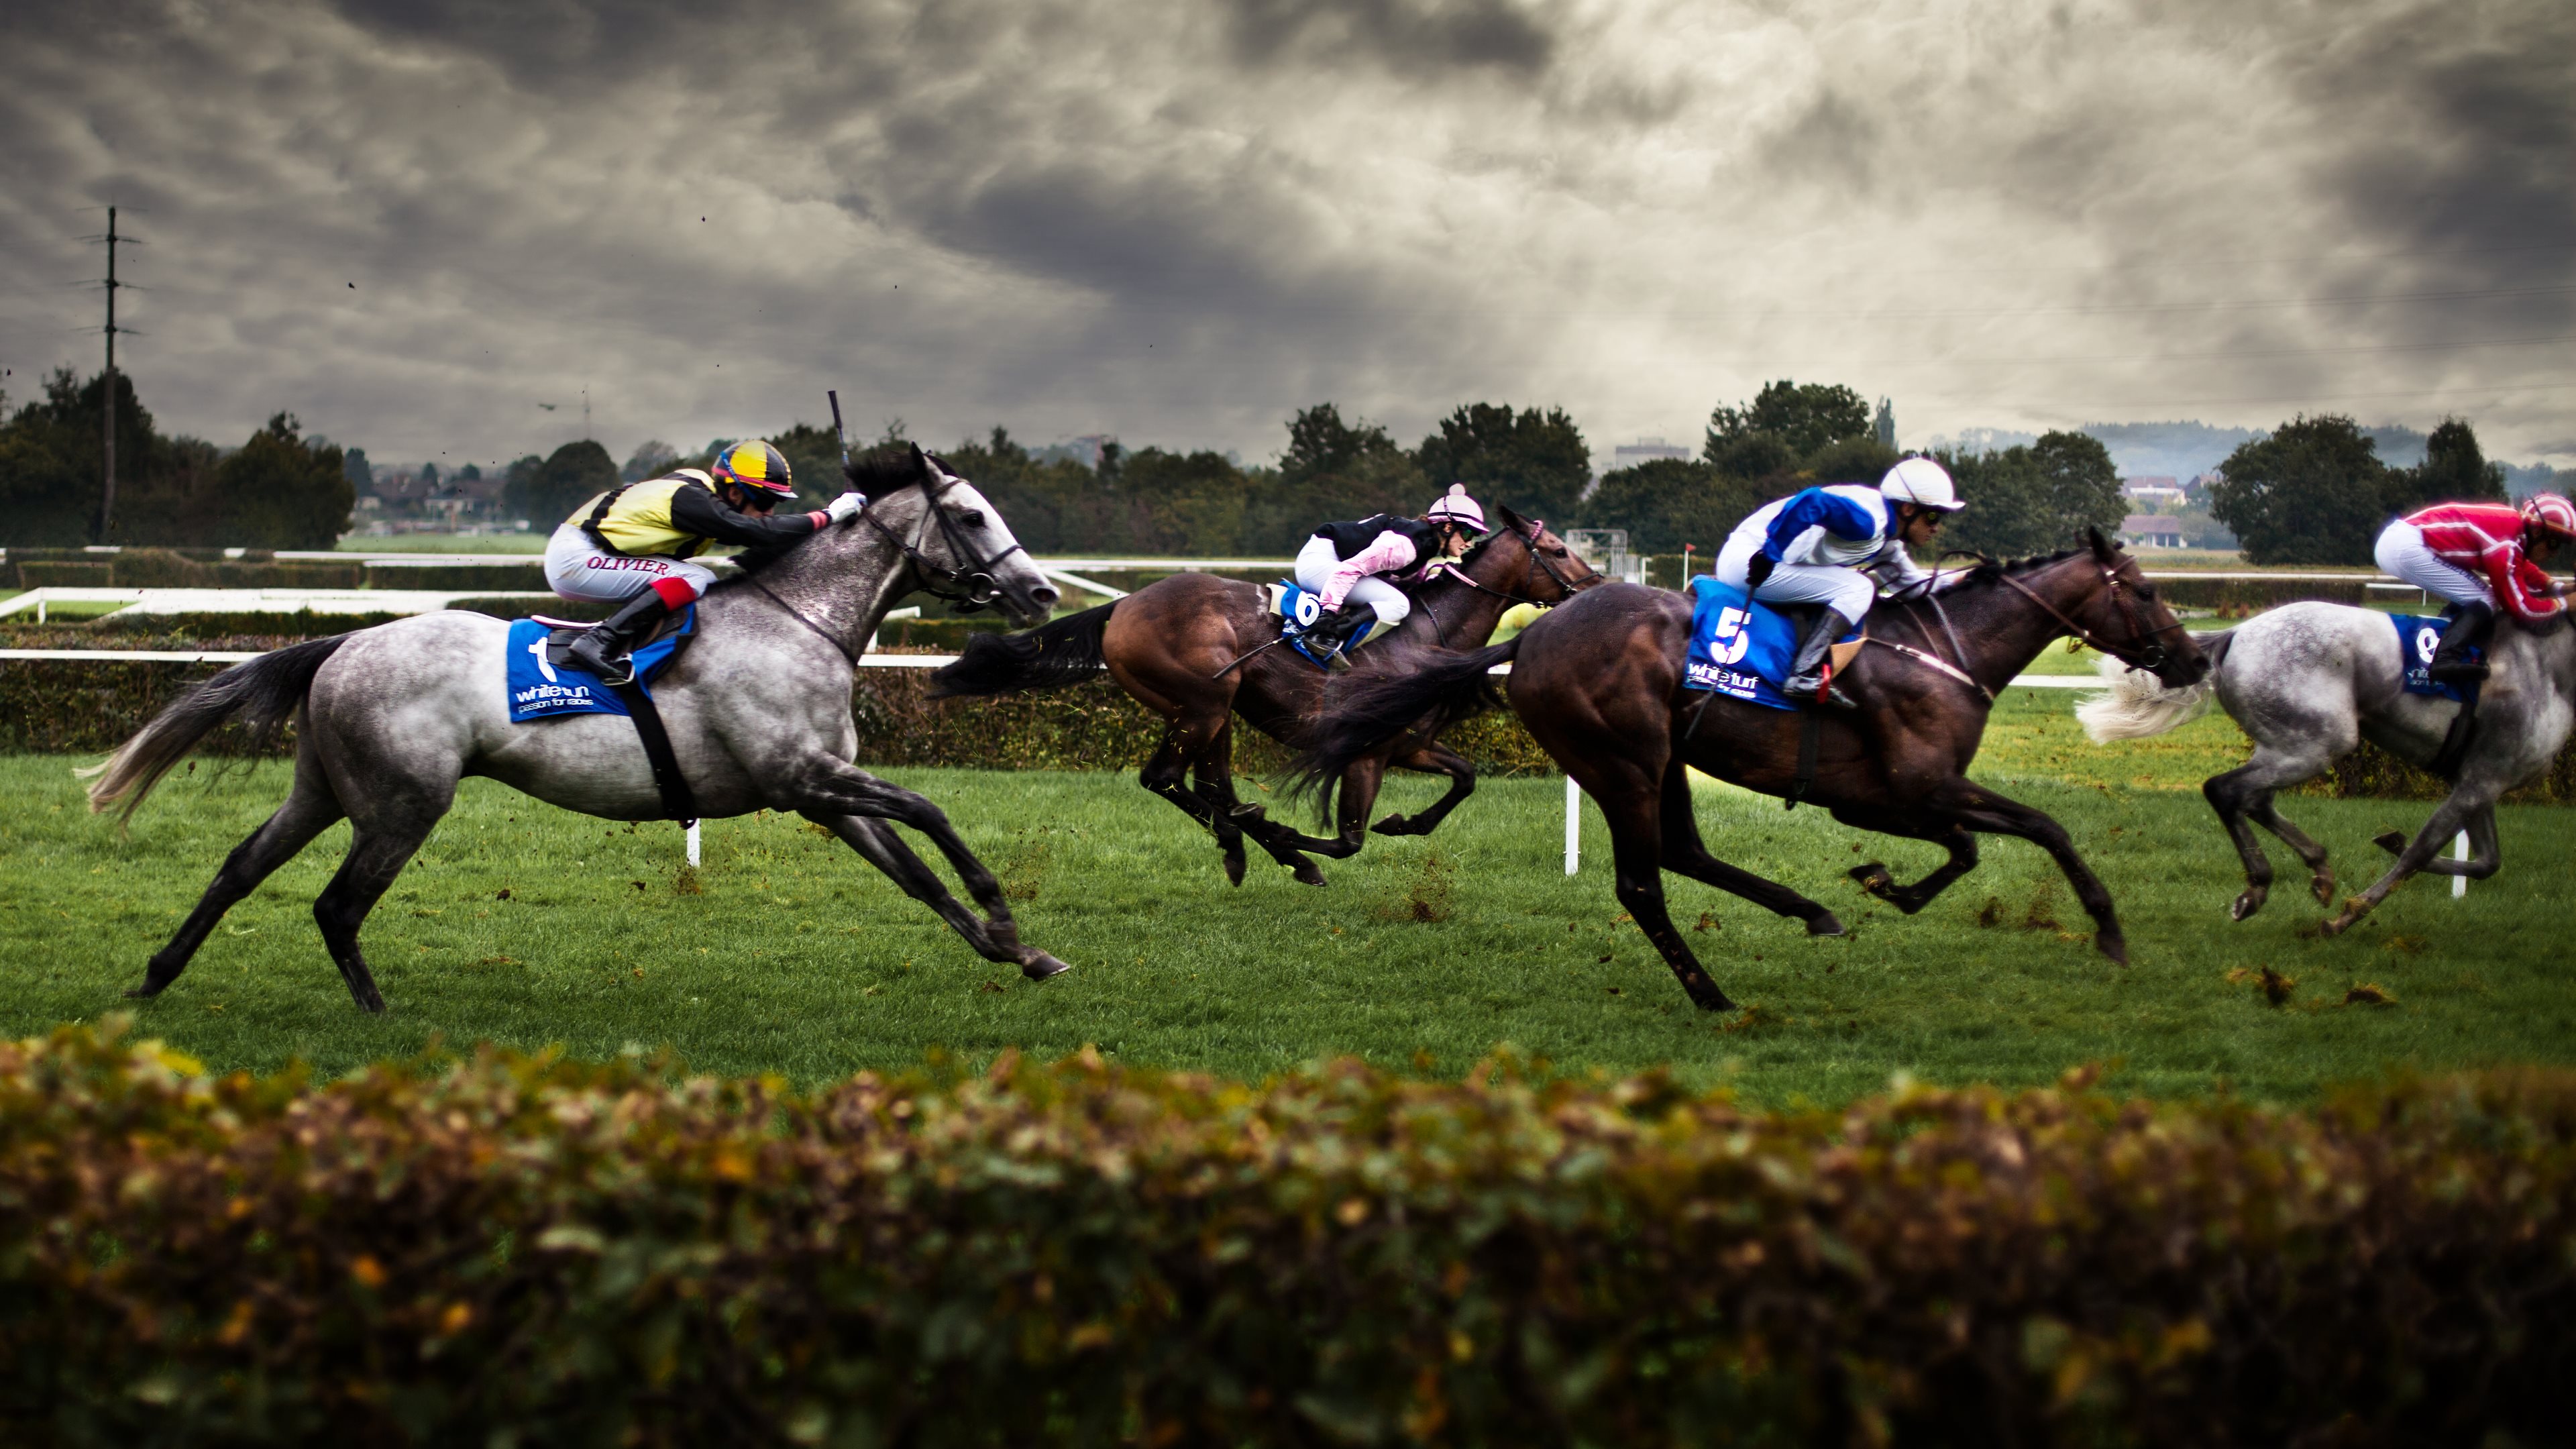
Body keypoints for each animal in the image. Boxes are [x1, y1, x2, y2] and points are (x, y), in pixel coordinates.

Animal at [937, 508, 1597, 892]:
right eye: (1560, 550)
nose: (1597, 587)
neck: (1423, 643)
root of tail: (1123, 605)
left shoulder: (1407, 746)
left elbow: (1465, 777)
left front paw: (1404, 822)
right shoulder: (1362, 753)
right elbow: (1349, 840)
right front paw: (1291, 837)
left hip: (1213, 712)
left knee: (1211, 788)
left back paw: (1246, 847)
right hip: (1203, 700)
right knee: (1165, 778)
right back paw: (1259, 844)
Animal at [1298, 523, 2205, 1010]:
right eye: (2147, 593)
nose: (2196, 660)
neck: (1945, 650)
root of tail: (1532, 637)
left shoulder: (1889, 797)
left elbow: (1969, 845)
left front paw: (1886, 885)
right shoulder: (1915, 786)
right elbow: (2039, 827)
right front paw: (2110, 931)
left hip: (1662, 757)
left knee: (1684, 851)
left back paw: (1810, 911)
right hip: (1623, 759)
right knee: (1643, 882)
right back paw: (1711, 991)